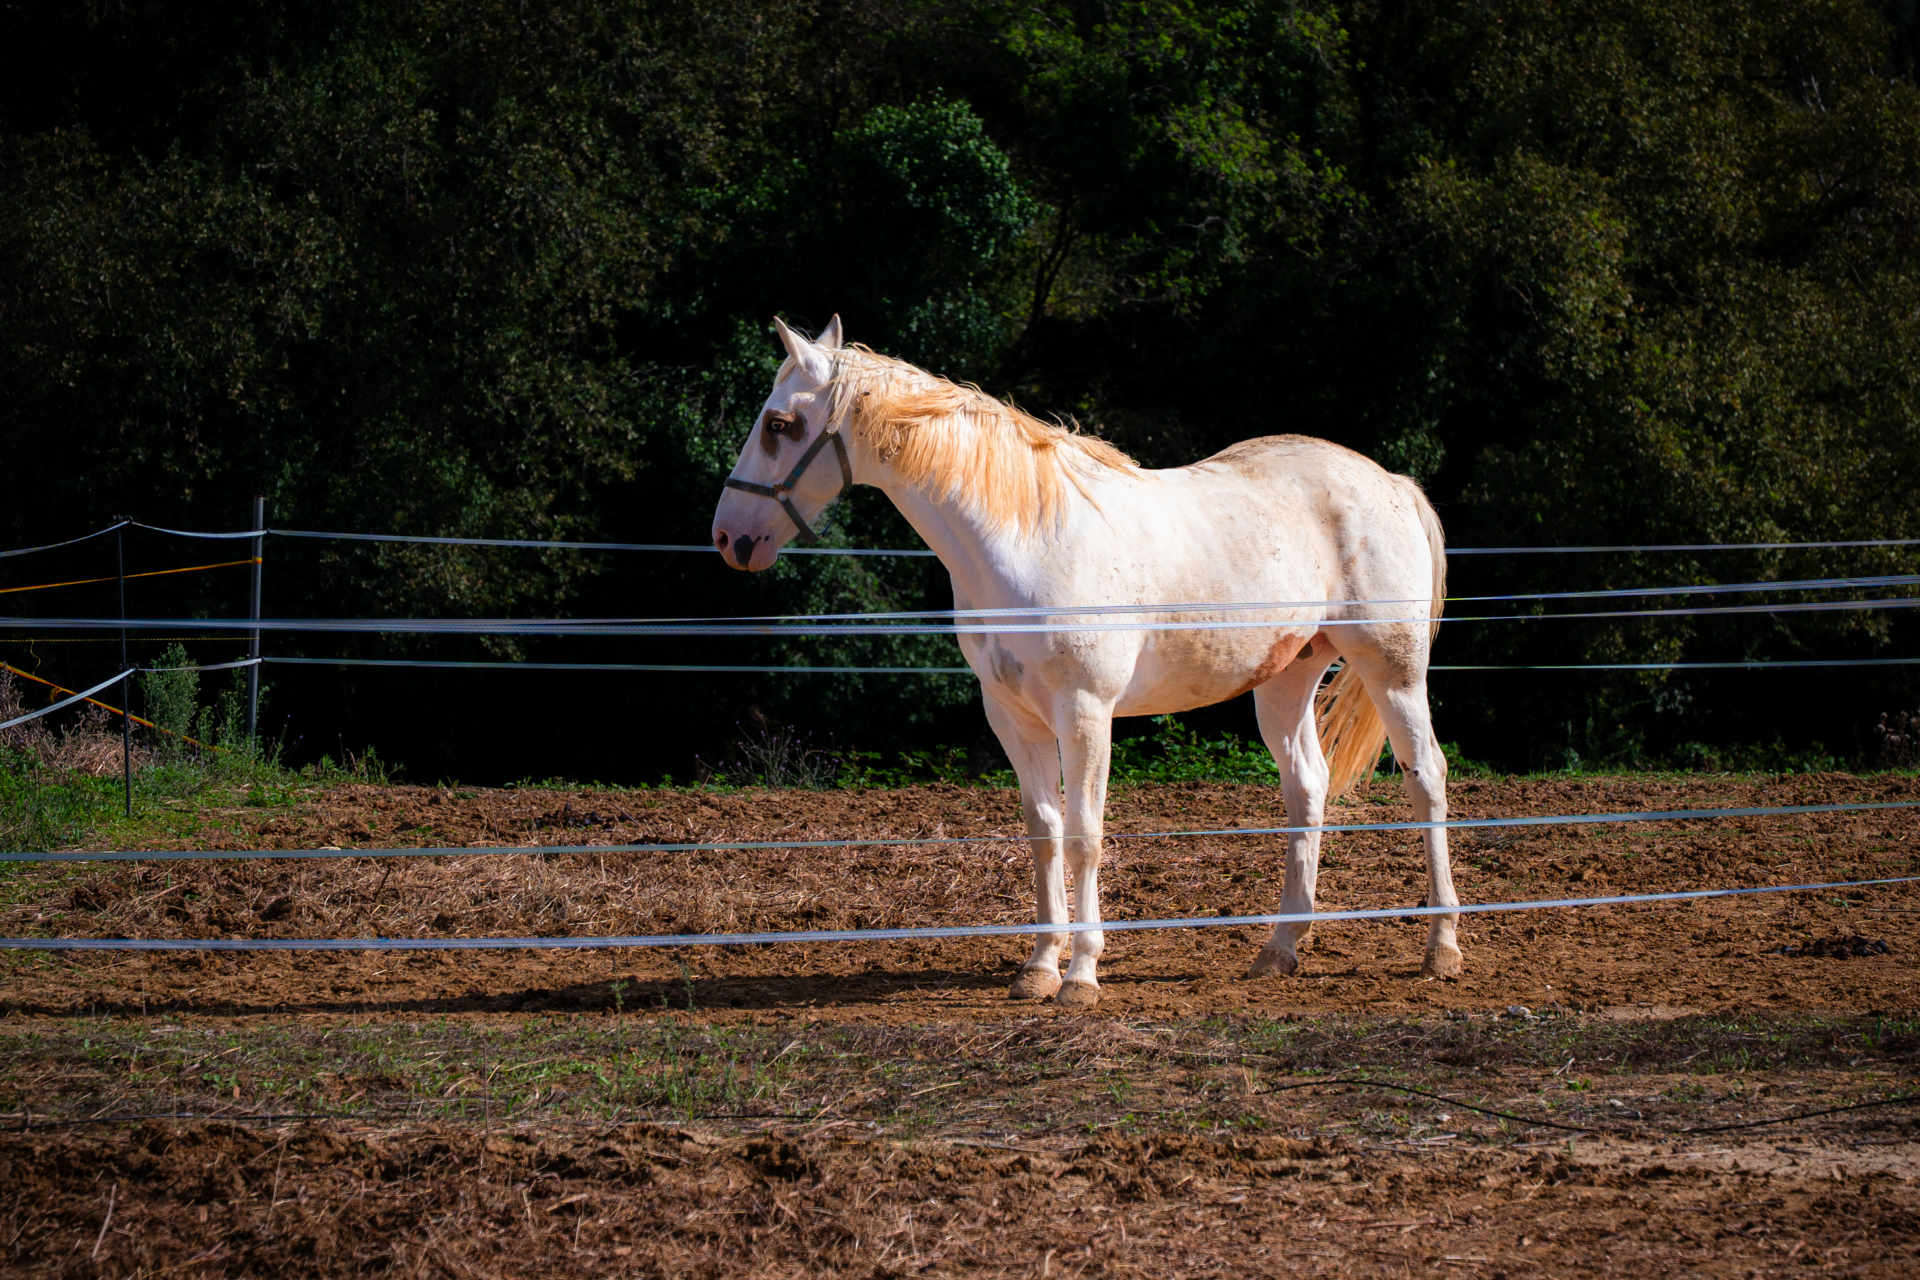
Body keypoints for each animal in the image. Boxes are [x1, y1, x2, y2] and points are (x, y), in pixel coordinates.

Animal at [711, 316, 1458, 1008]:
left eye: (779, 423)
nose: (728, 538)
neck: (1028, 537)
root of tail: (1392, 482)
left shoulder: (1086, 713)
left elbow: (1083, 837)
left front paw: (1081, 976)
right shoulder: (1012, 717)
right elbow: (1043, 834)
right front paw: (1039, 968)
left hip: (1391, 669)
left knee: (1426, 777)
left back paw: (1442, 946)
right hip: (1287, 678)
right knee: (1306, 787)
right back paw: (1280, 948)